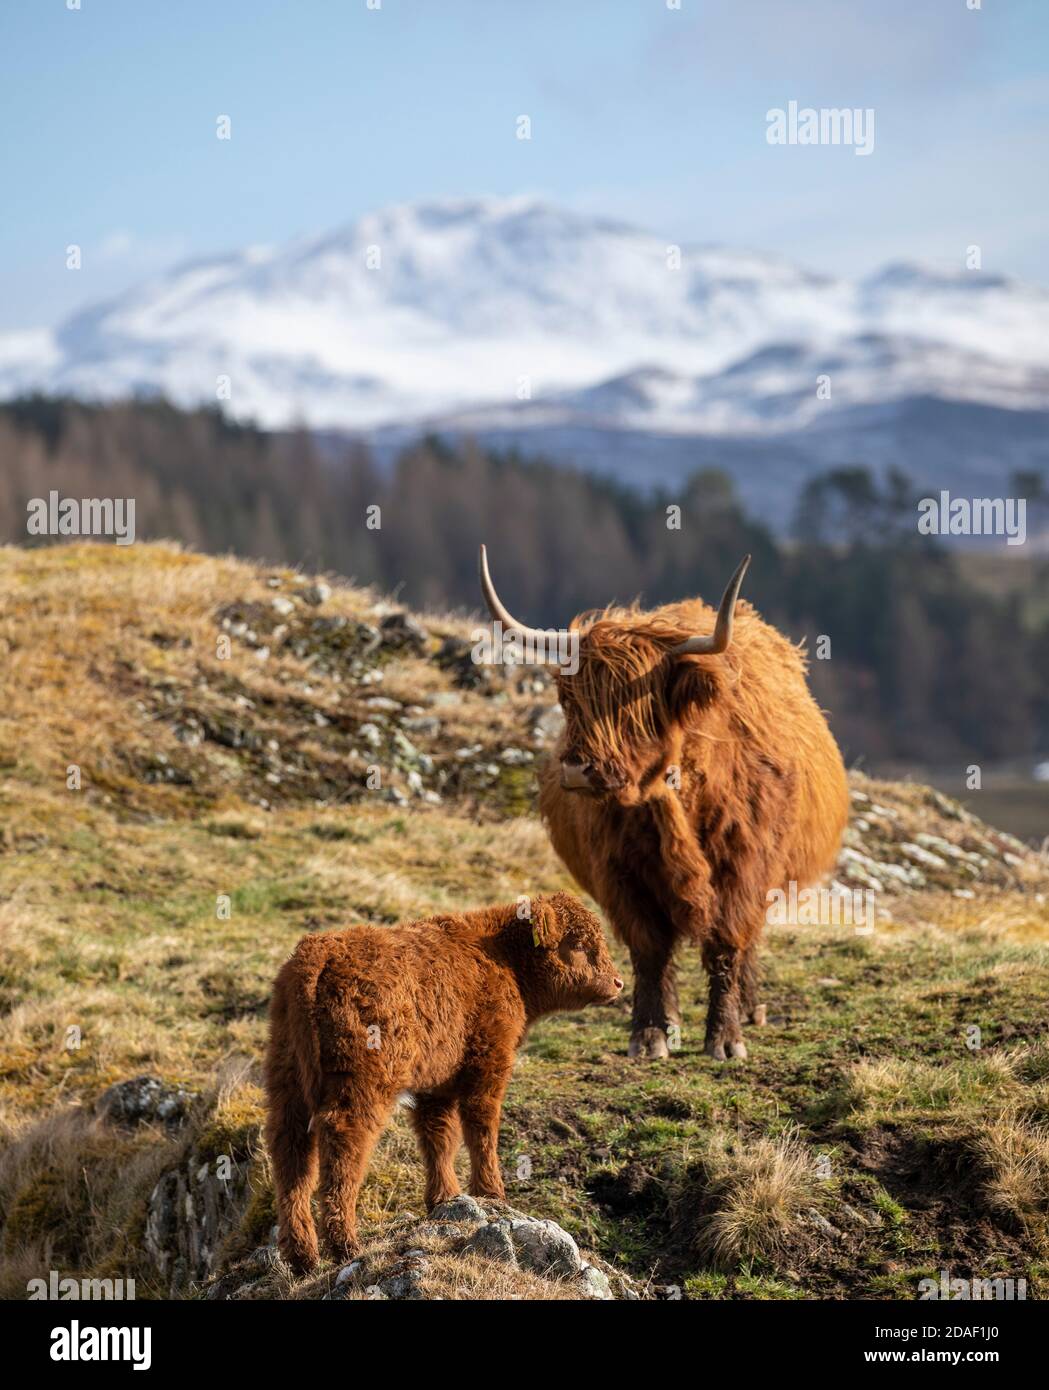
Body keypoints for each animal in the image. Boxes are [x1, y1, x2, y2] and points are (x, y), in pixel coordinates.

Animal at [266, 889, 619, 1273]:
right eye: (579, 943)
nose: (618, 982)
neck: (501, 957)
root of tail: (321, 951)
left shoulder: (436, 1084)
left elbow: (438, 1138)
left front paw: (443, 1198)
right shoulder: (488, 1064)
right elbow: (480, 1129)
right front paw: (491, 1193)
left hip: (287, 1080)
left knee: (291, 1153)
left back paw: (302, 1255)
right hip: (361, 1087)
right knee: (342, 1146)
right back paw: (345, 1244)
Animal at [480, 542, 850, 1061]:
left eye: (636, 702)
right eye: (571, 699)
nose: (576, 769)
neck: (671, 802)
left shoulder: (744, 869)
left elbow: (726, 945)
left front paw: (725, 1038)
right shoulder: (621, 875)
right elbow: (650, 950)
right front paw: (651, 1034)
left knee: (750, 940)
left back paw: (750, 1008)